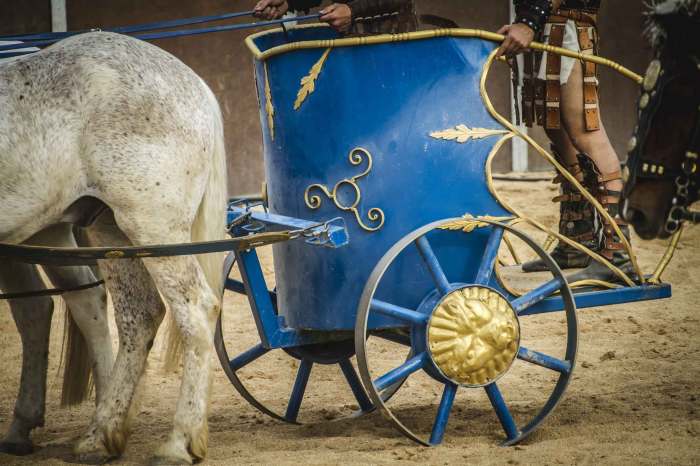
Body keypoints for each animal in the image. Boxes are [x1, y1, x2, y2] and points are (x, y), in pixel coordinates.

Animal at [0, 31, 227, 464]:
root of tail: (195, 83)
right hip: (110, 229)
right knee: (138, 316)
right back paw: (101, 432)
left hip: (154, 226)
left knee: (196, 311)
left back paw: (178, 440)